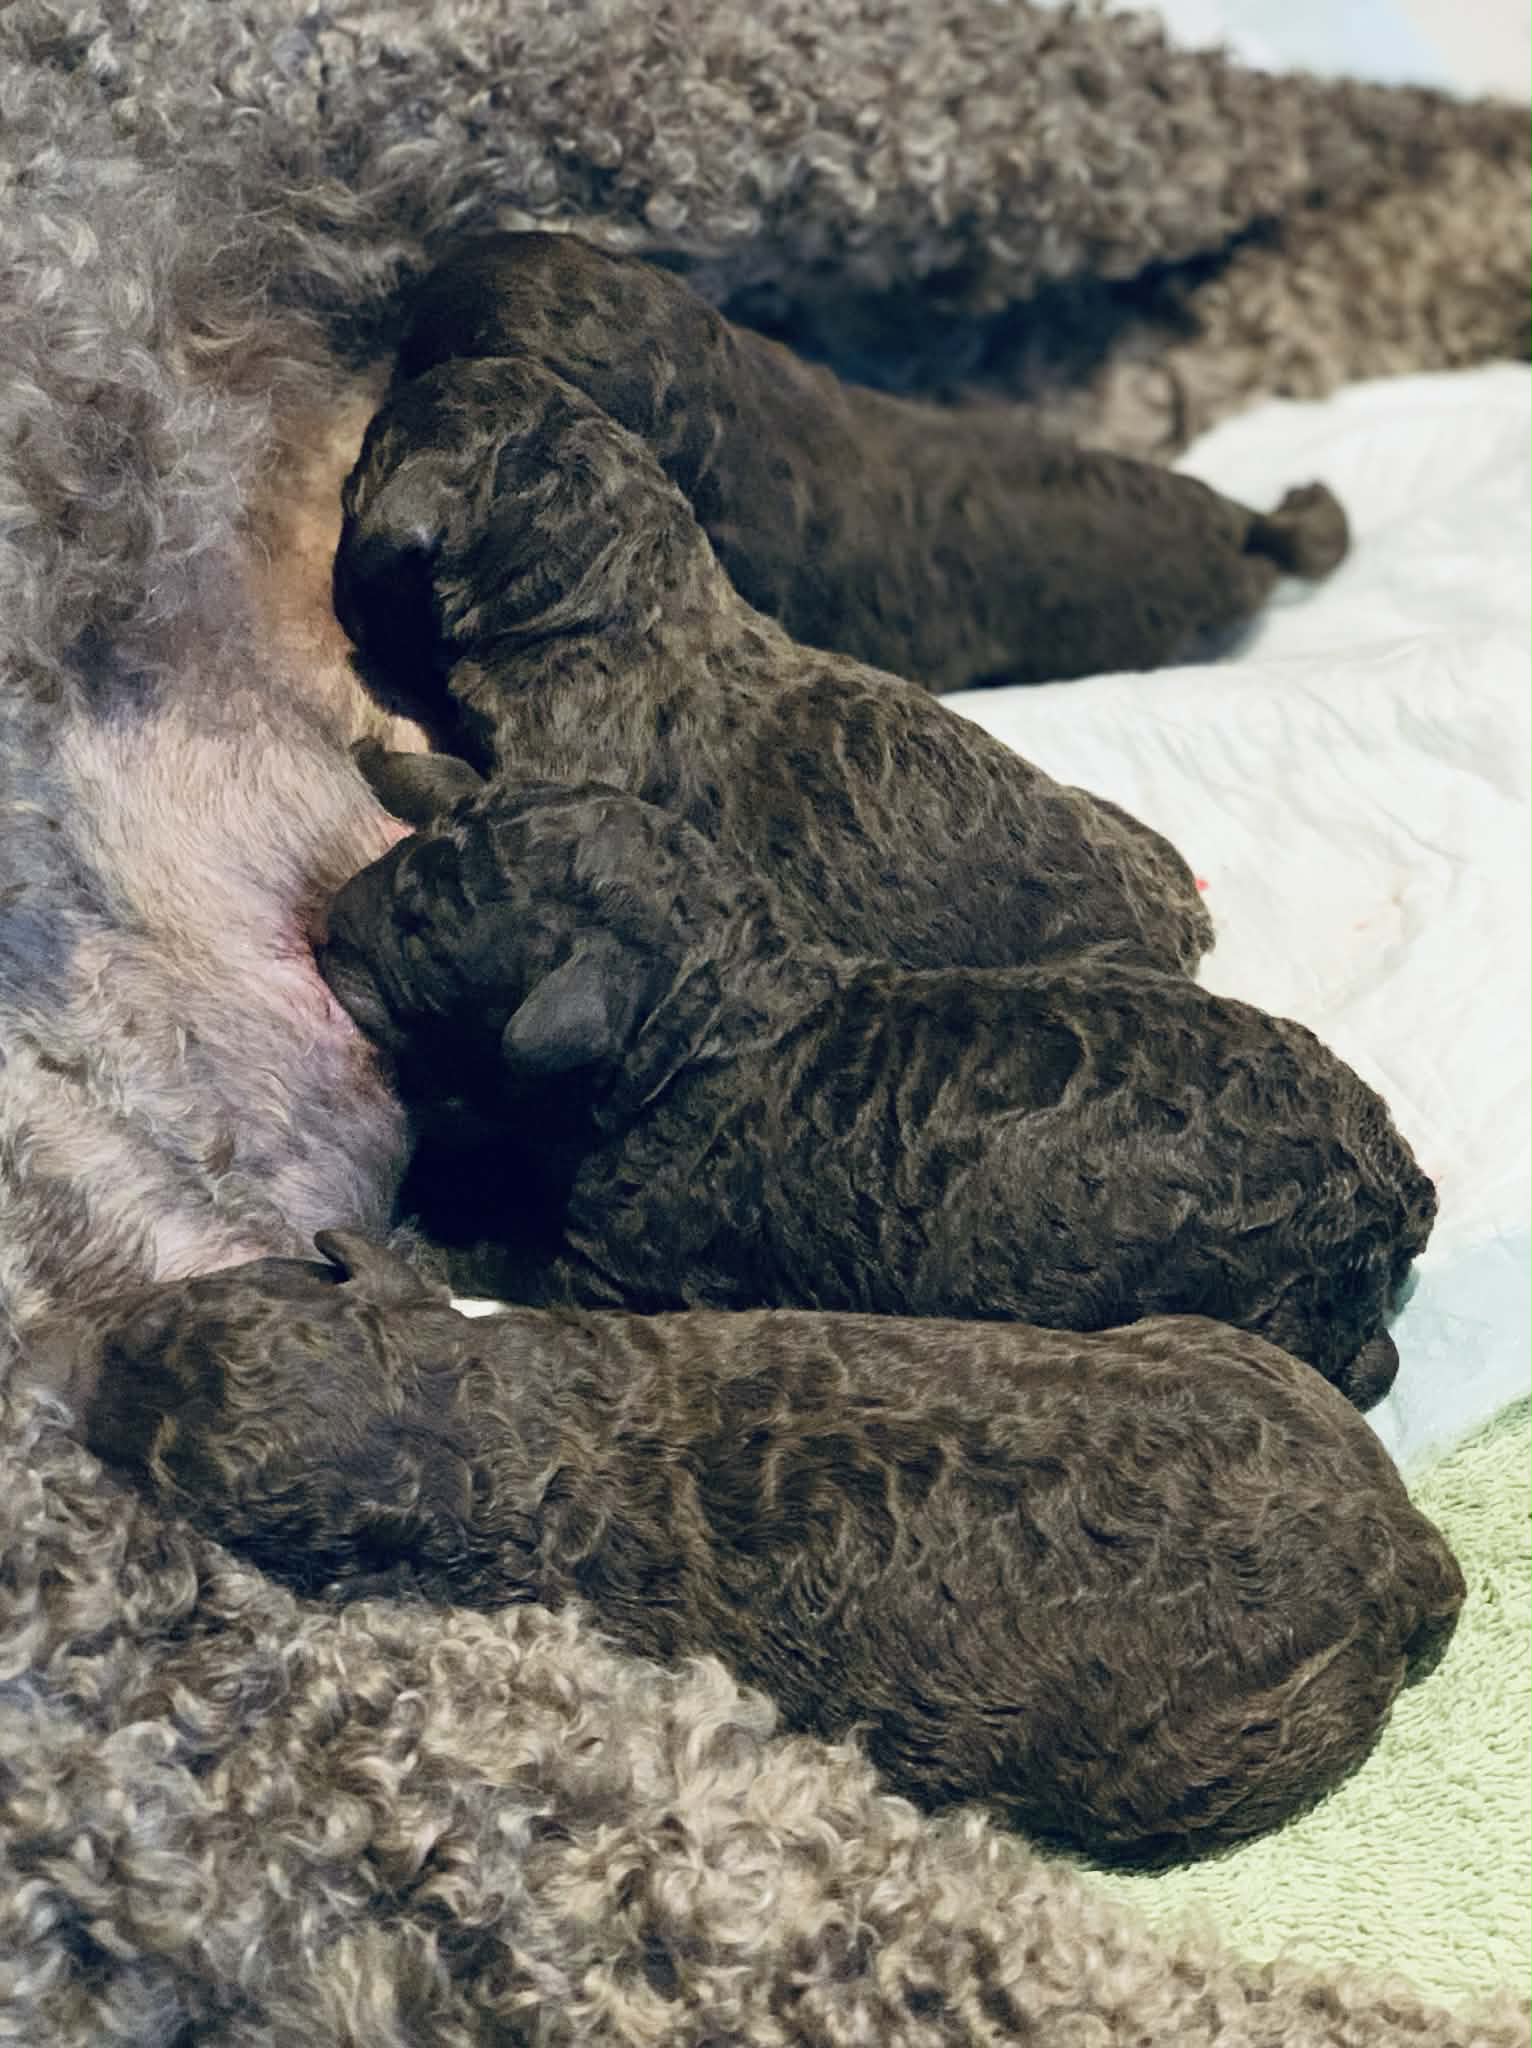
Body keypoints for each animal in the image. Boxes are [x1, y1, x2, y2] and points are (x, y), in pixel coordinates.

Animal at [22, 1228, 1465, 1868]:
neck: (466, 1414)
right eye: (209, 1292)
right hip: (1222, 1342)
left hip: (1207, 1757)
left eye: (169, 1466)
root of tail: (1401, 1546)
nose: (75, 1356)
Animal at [319, 772, 1435, 1407]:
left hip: (1273, 1295)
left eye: (420, 929)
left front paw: (423, 1224)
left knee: (1363, 1363)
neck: (718, 1019)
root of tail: (1391, 1179)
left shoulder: (621, 1268)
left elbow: (505, 1246)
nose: (324, 920)